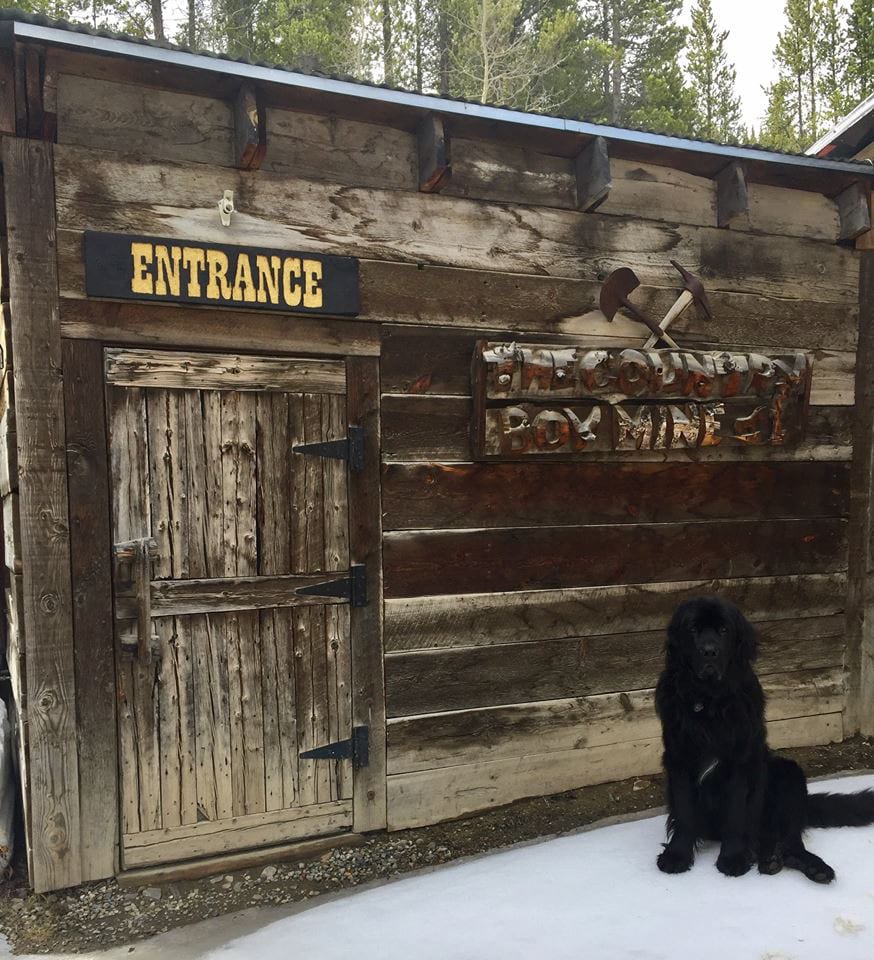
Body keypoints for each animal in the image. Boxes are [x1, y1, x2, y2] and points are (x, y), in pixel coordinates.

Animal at [656, 596, 872, 880]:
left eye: (723, 630)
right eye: (693, 629)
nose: (709, 651)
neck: (709, 700)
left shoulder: (740, 762)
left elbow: (736, 813)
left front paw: (733, 858)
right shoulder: (679, 758)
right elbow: (683, 812)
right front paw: (677, 856)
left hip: (789, 776)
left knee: (790, 840)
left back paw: (808, 866)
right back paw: (770, 859)